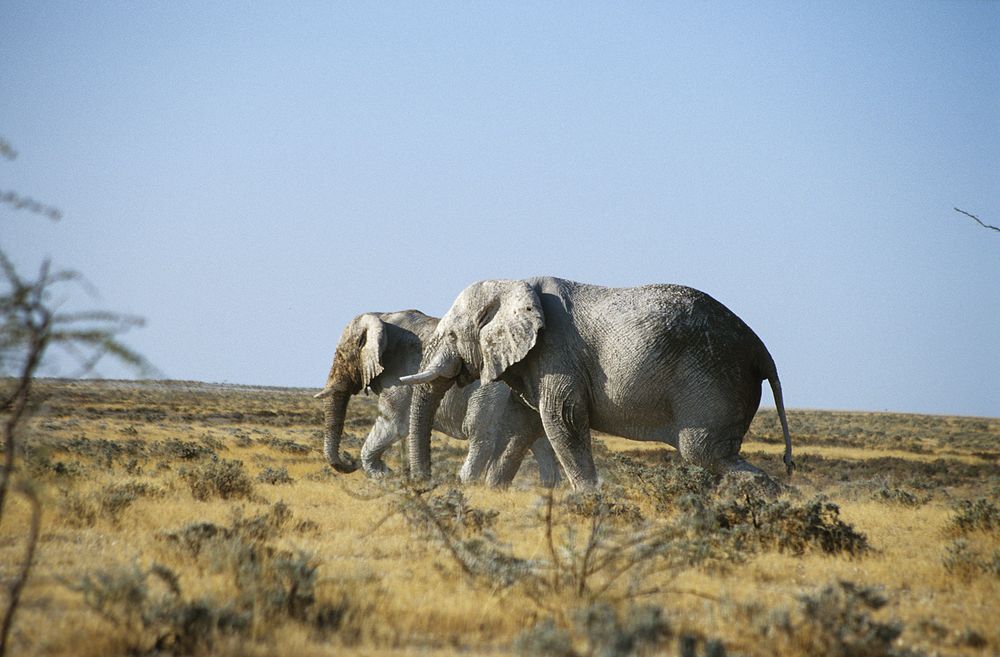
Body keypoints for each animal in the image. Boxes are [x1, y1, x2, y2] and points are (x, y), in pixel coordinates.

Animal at [314, 308, 556, 486]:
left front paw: (384, 475)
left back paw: (466, 483)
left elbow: (394, 424)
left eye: (341, 355)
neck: (382, 316)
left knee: (480, 433)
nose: (348, 462)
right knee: (540, 443)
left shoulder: (396, 376)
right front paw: (386, 475)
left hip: (491, 392)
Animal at [402, 274, 792, 490]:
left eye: (452, 335)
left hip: (713, 381)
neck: (515, 283)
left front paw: (587, 500)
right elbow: (526, 424)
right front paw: (493, 489)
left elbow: (562, 417)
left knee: (703, 451)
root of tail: (762, 352)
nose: (424, 482)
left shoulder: (557, 353)